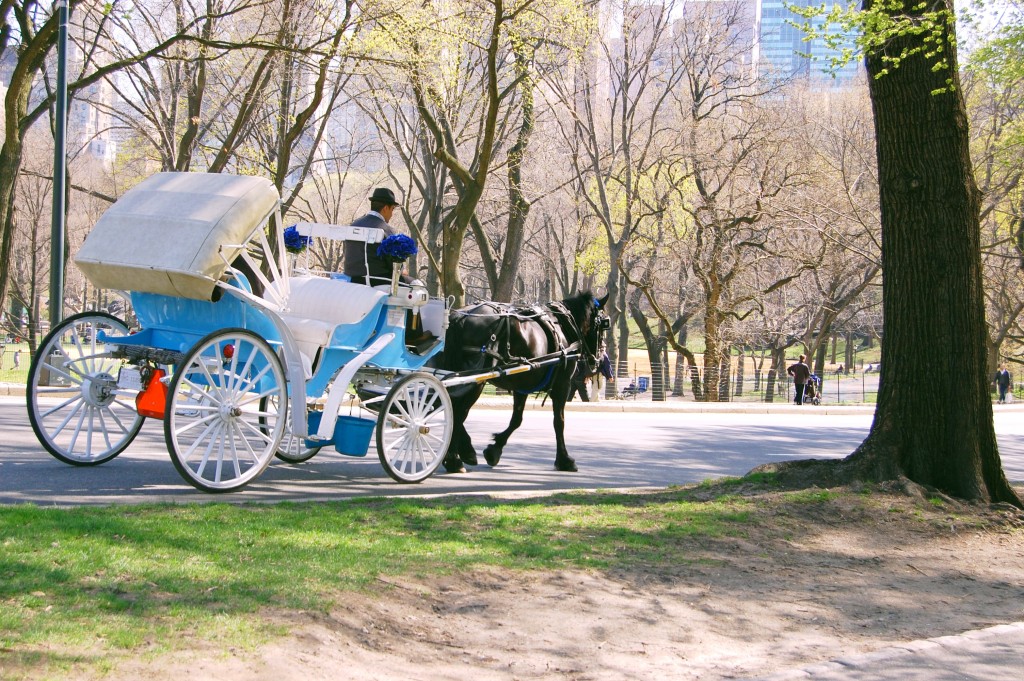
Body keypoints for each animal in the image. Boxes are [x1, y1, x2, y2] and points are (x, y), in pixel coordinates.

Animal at [438, 290, 606, 473]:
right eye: (604, 324)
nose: (599, 358)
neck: (564, 326)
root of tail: (459, 317)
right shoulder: (563, 385)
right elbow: (559, 422)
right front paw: (565, 459)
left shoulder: (522, 386)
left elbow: (516, 420)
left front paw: (494, 450)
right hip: (475, 380)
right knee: (458, 413)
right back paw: (455, 459)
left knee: (450, 408)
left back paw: (463, 452)